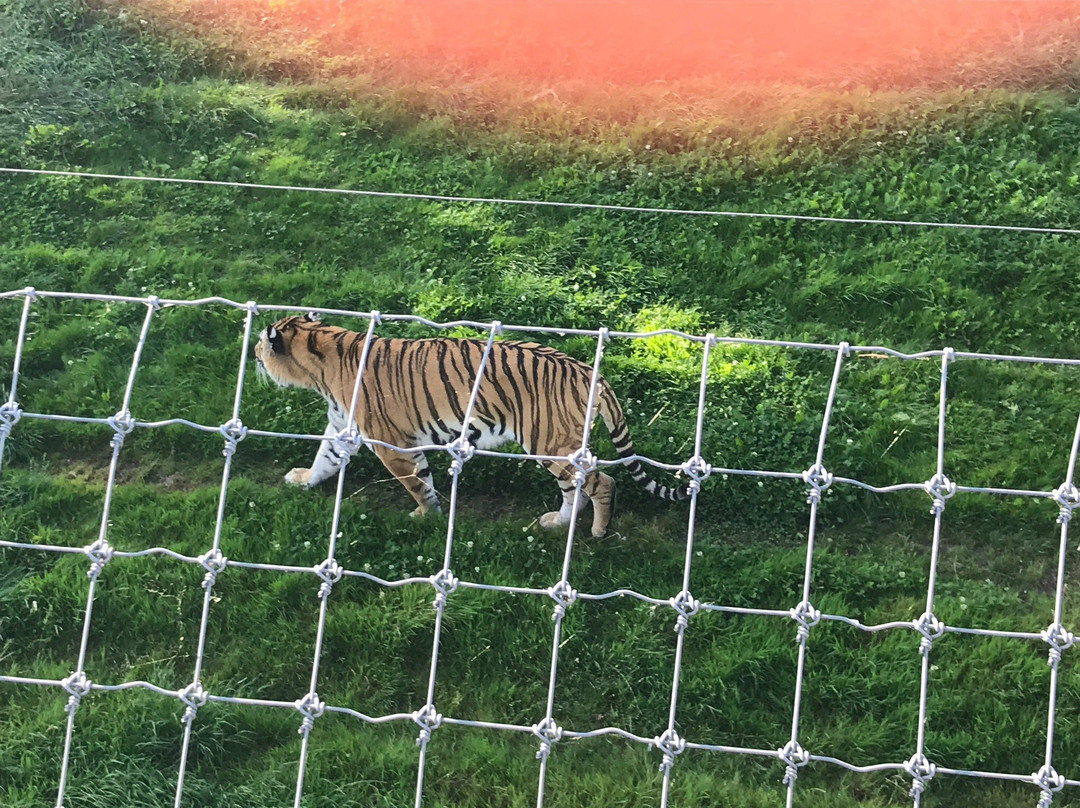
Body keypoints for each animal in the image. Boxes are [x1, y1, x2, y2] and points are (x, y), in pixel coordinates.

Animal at [254, 313, 682, 535]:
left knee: (602, 482)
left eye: (261, 342)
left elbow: (416, 483)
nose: (254, 351)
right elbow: (324, 460)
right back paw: (556, 522)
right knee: (574, 488)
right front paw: (303, 481)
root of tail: (588, 371)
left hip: (550, 442)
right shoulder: (342, 429)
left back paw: (597, 531)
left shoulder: (391, 443)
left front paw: (425, 516)